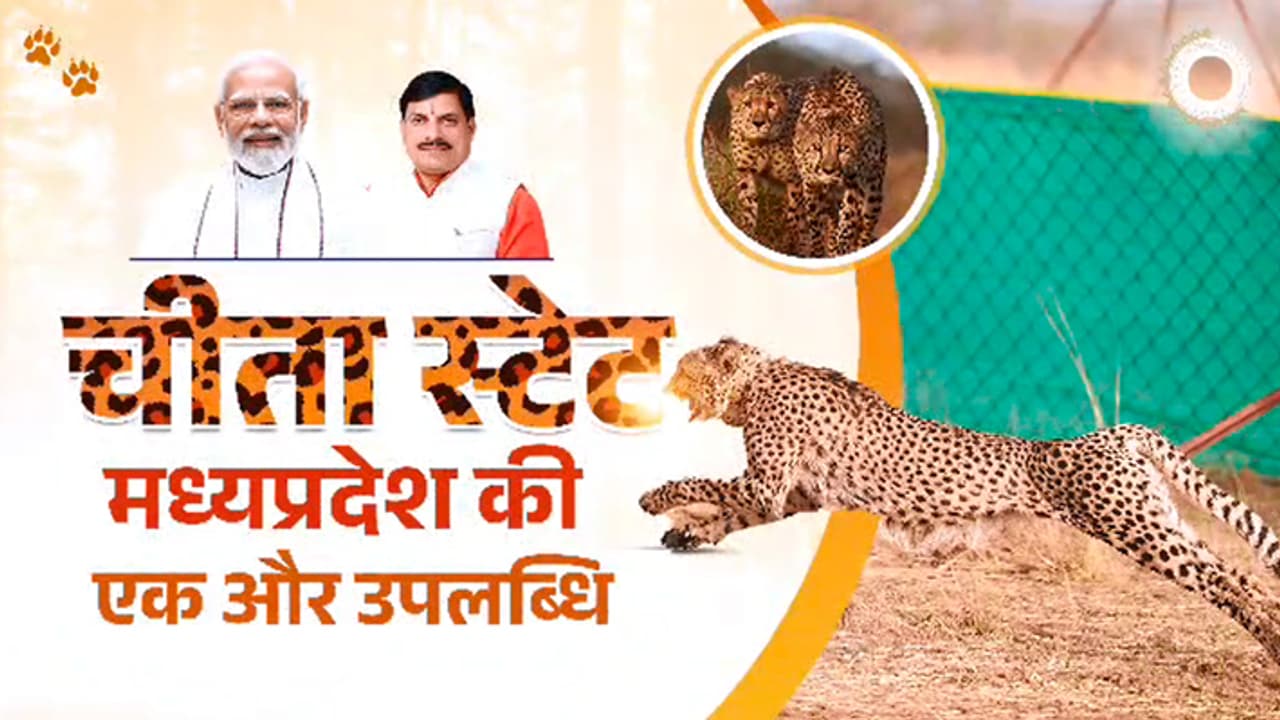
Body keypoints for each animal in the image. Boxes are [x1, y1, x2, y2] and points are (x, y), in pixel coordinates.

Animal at [638, 337, 1280, 666]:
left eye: (685, 368)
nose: (667, 383)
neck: (757, 379)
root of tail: (1113, 433)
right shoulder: (788, 494)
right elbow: (727, 511)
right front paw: (686, 532)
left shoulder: (768, 486)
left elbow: (705, 486)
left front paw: (655, 497)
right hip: (1160, 521)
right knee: (1236, 574)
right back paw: (1272, 636)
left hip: (1138, 531)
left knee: (1224, 581)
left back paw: (1271, 643)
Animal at [792, 67, 888, 258]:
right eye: (817, 148)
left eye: (843, 149)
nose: (828, 170)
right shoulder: (811, 184)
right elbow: (815, 223)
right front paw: (818, 251)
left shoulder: (855, 187)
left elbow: (847, 226)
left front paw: (841, 249)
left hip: (874, 193)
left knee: (865, 228)